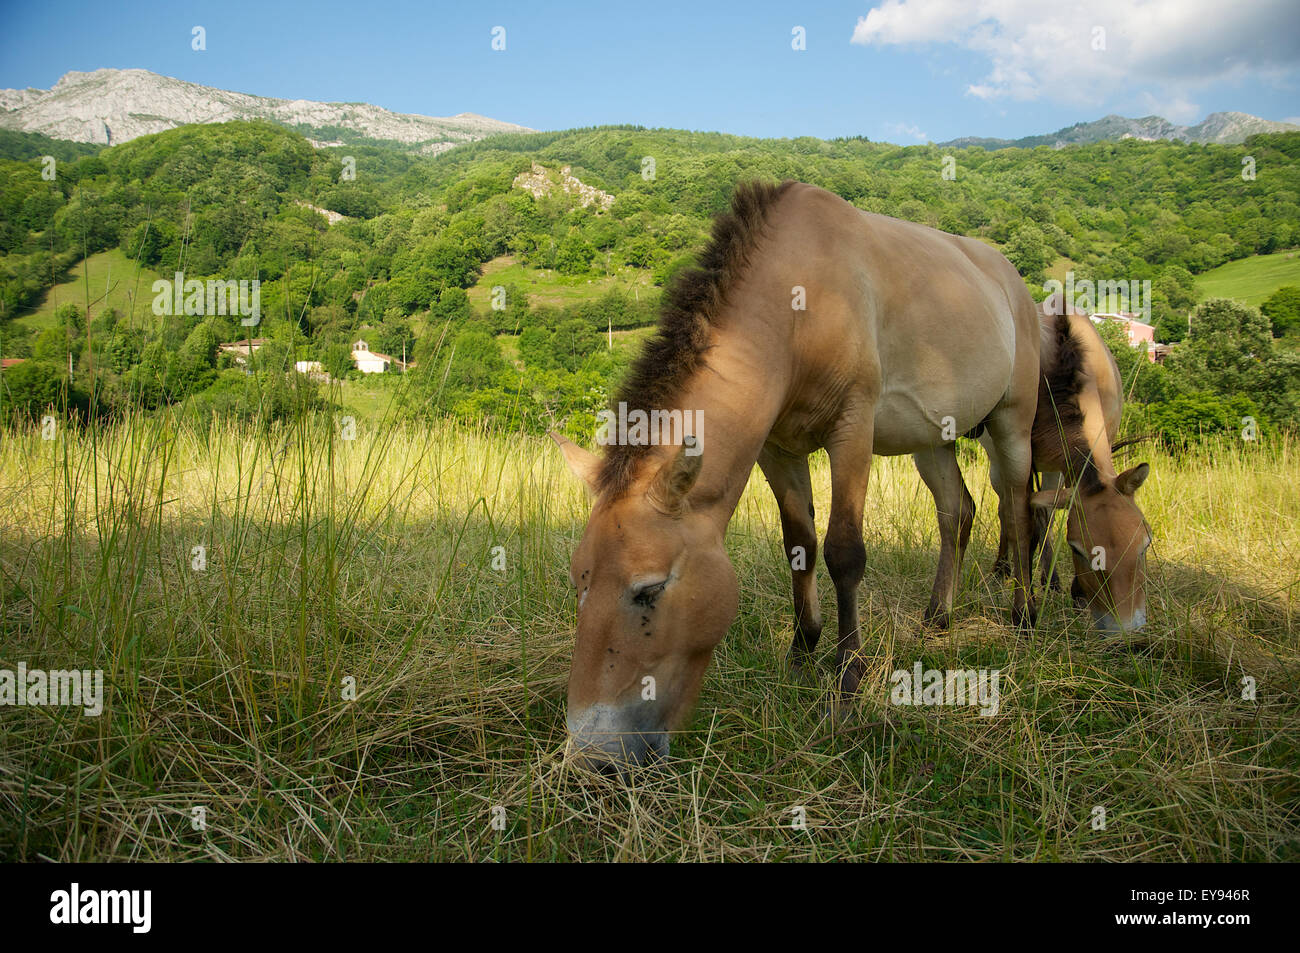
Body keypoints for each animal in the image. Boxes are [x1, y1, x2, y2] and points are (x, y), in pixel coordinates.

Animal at [550, 180, 1041, 769]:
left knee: (1018, 509)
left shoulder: (852, 430)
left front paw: (848, 682)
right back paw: (938, 616)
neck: (797, 303)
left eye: (649, 589)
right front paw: (802, 652)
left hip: (1013, 424)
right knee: (957, 511)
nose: (592, 755)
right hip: (934, 441)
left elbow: (843, 553)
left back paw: (1023, 614)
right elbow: (799, 545)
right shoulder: (778, 450)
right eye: (579, 582)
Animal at [985, 297, 1152, 633]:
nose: (1126, 628)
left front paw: (1070, 590)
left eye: (1144, 546)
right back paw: (1003, 568)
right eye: (1077, 550)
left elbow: (1044, 515)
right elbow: (1019, 516)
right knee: (1006, 509)